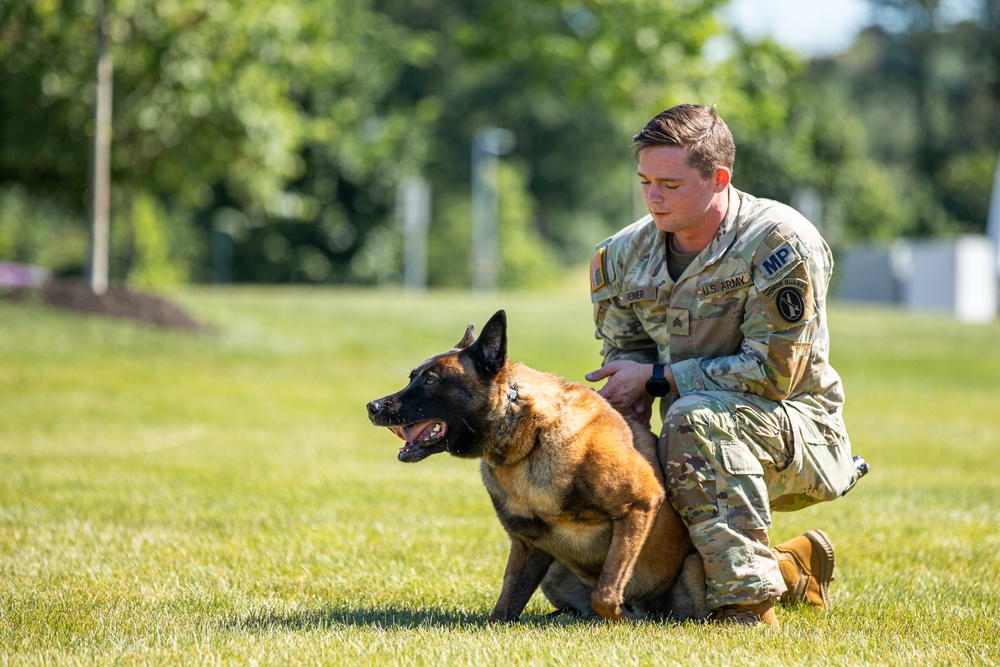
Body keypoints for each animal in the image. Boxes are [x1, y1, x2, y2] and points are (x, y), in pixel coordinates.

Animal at [364, 310, 708, 624]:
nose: (372, 407)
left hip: (692, 569)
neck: (530, 441)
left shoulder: (642, 502)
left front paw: (622, 617)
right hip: (554, 570)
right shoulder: (528, 544)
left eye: (430, 381)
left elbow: (605, 593)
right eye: (412, 377)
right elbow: (505, 605)